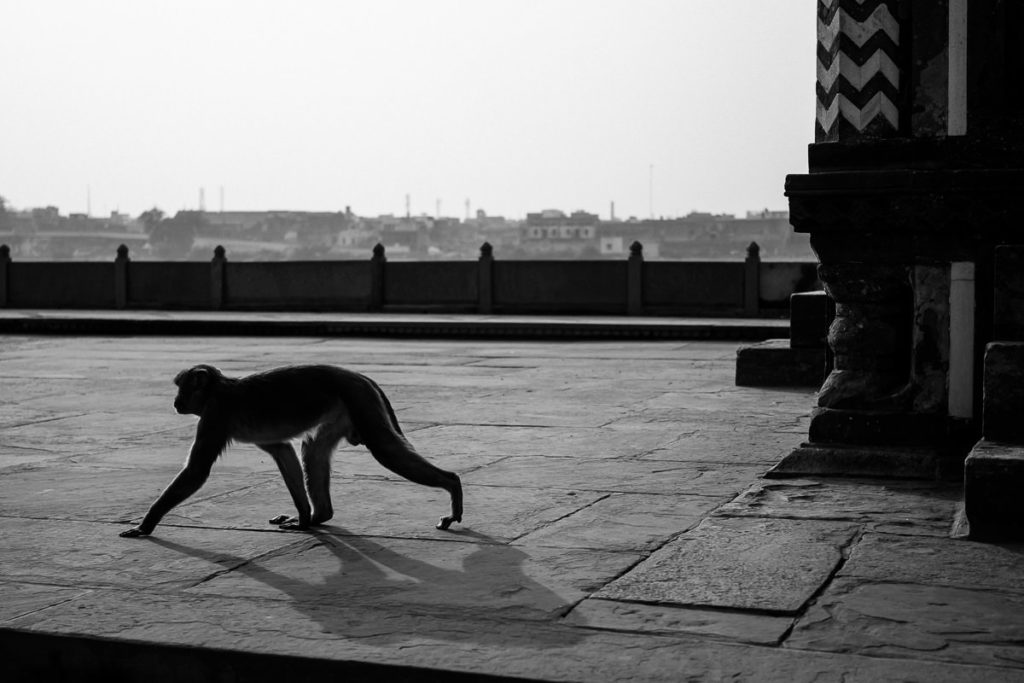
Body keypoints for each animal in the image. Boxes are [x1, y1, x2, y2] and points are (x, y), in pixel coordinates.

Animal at [119, 364, 462, 538]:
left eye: (182, 388)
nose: (176, 402)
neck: (219, 389)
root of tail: (361, 377)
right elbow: (283, 452)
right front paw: (304, 518)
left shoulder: (215, 416)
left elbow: (197, 471)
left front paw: (146, 524)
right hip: (344, 408)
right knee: (314, 450)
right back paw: (320, 515)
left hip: (358, 400)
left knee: (384, 448)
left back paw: (452, 483)